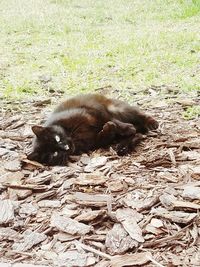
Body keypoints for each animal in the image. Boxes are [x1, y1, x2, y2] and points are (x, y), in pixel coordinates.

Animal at [27, 94, 158, 165]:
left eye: (57, 138)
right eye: (54, 153)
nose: (66, 147)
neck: (74, 137)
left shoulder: (93, 112)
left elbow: (110, 120)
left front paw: (127, 128)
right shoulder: (94, 141)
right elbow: (105, 134)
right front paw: (109, 128)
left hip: (119, 109)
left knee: (140, 116)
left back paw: (151, 124)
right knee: (138, 134)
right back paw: (123, 146)